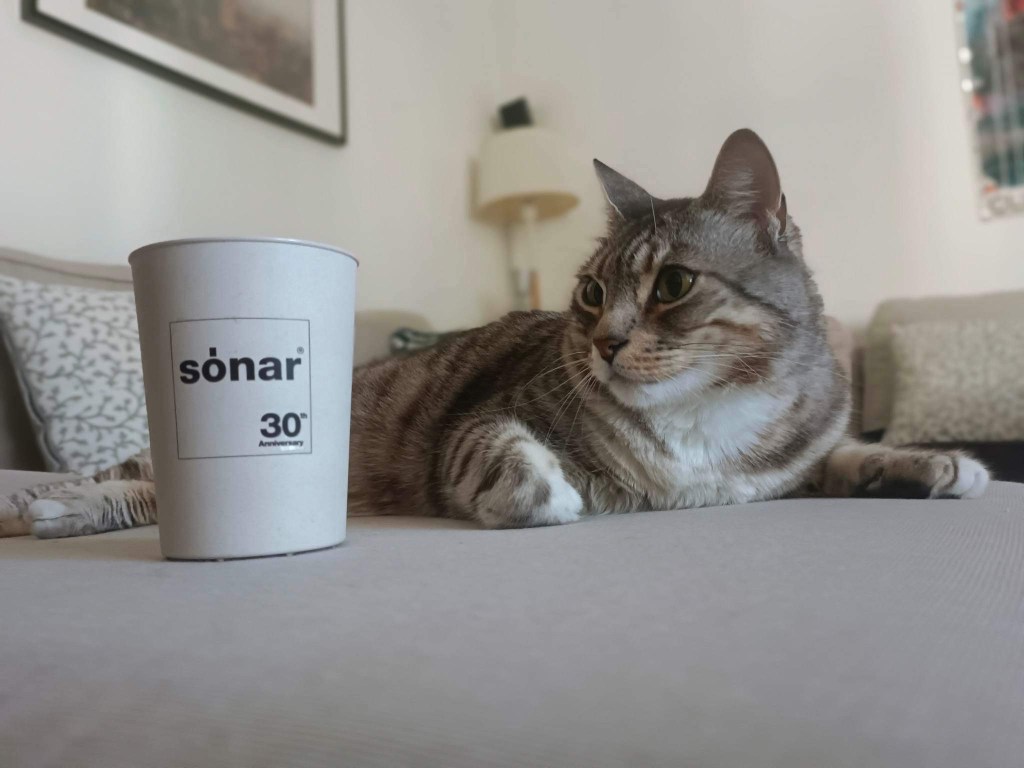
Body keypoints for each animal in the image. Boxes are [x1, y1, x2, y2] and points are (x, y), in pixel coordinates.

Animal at [0, 129, 989, 539]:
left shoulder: (796, 457)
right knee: (119, 479)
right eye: (590, 294)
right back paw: (51, 504)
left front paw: (933, 464)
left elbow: (844, 455)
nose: (603, 341)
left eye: (670, 284)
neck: (706, 427)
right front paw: (540, 492)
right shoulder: (480, 420)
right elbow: (498, 451)